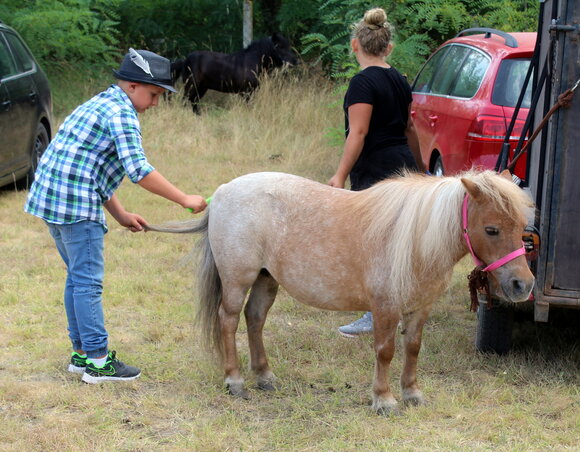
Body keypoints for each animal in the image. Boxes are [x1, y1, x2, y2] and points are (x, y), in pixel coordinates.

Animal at [148, 169, 536, 414]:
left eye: (521, 226)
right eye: (491, 229)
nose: (523, 285)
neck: (414, 240)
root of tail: (223, 192)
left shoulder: (419, 308)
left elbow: (412, 349)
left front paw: (412, 394)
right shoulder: (385, 308)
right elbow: (385, 352)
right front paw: (384, 400)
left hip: (266, 280)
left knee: (254, 320)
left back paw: (265, 377)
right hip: (237, 279)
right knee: (228, 322)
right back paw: (236, 381)